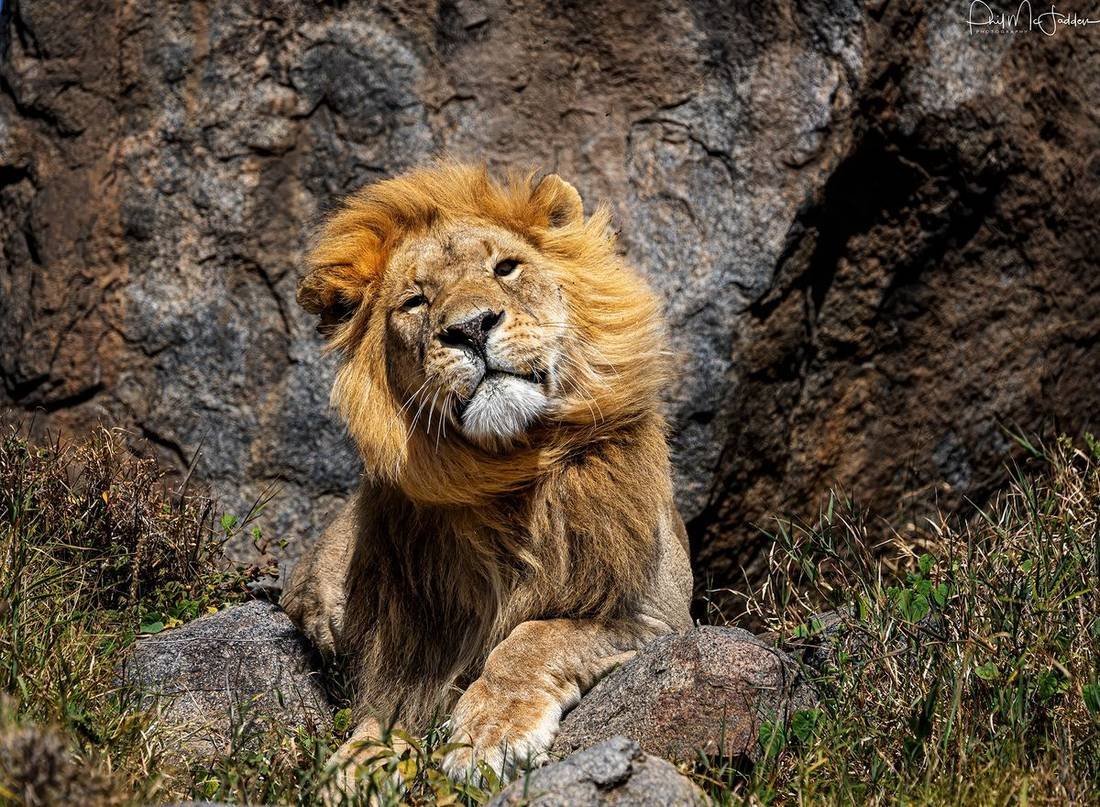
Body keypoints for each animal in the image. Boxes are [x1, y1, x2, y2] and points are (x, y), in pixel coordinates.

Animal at [280, 161, 693, 790]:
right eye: (415, 301)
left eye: (505, 267)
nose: (471, 328)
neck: (510, 472)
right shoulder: (416, 646)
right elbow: (388, 711)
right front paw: (361, 762)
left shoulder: (660, 615)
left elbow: (537, 636)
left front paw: (487, 735)